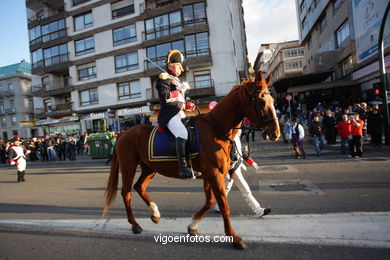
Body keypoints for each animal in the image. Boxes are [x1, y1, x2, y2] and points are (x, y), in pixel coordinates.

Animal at [103, 71, 280, 250]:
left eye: (273, 101)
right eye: (261, 101)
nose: (275, 134)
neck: (215, 129)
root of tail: (123, 133)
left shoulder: (210, 175)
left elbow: (210, 201)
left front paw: (193, 226)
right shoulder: (214, 174)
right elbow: (224, 205)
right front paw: (234, 237)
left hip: (149, 168)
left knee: (139, 187)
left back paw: (155, 214)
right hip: (128, 167)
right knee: (126, 193)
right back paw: (135, 225)